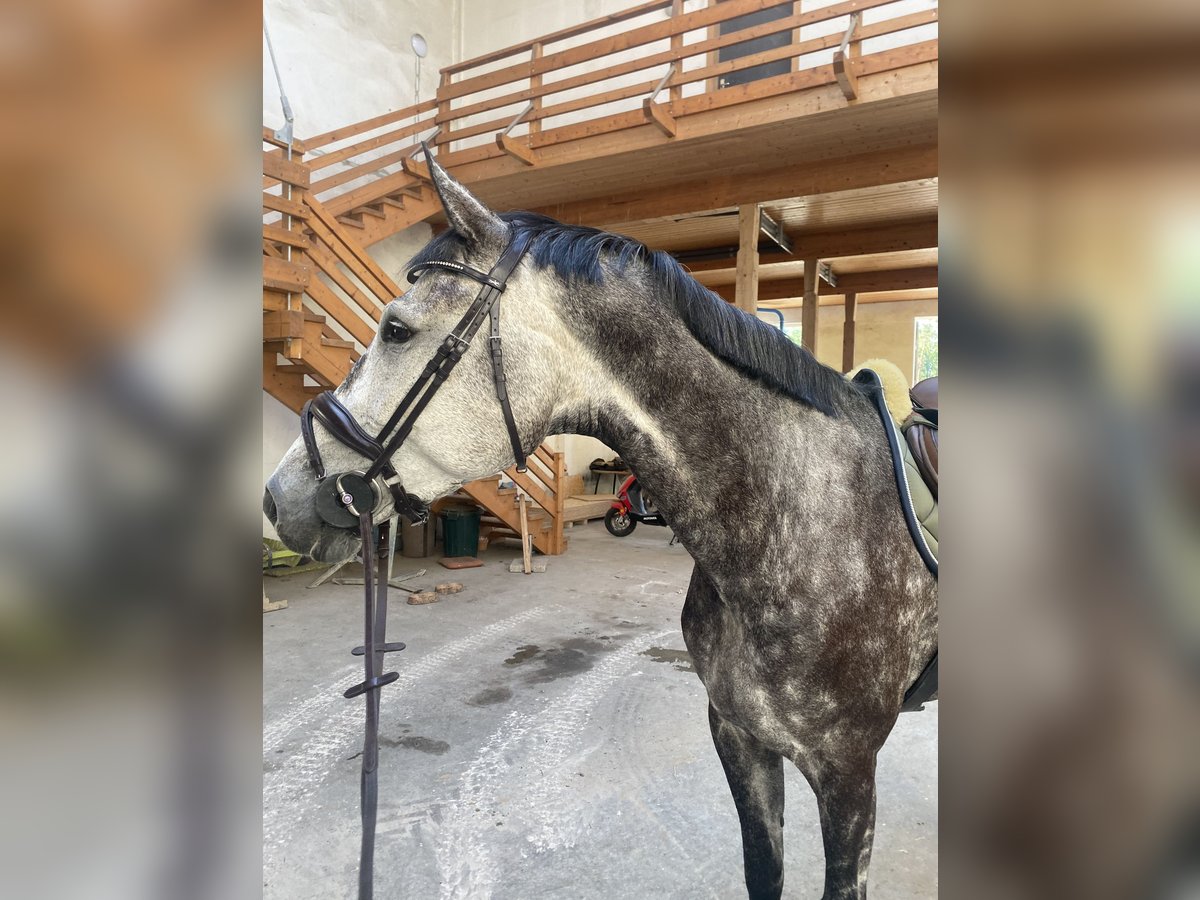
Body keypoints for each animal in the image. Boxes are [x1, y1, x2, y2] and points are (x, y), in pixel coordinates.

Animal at [267, 158, 940, 897]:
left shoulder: (848, 773)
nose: (278, 498)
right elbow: (763, 873)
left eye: (396, 330)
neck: (800, 520)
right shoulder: (739, 737)